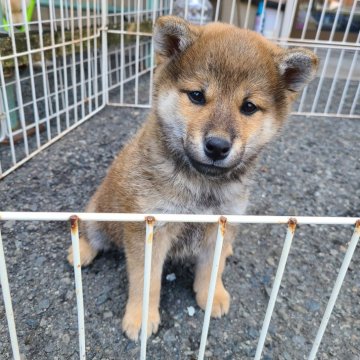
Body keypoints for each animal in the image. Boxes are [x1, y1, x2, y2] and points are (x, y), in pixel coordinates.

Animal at [67, 14, 318, 340]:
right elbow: (146, 281)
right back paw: (80, 251)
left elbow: (212, 269)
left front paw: (213, 295)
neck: (201, 186)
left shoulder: (221, 224)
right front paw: (142, 316)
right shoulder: (149, 228)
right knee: (89, 232)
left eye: (249, 106)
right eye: (197, 96)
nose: (218, 146)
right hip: (99, 214)